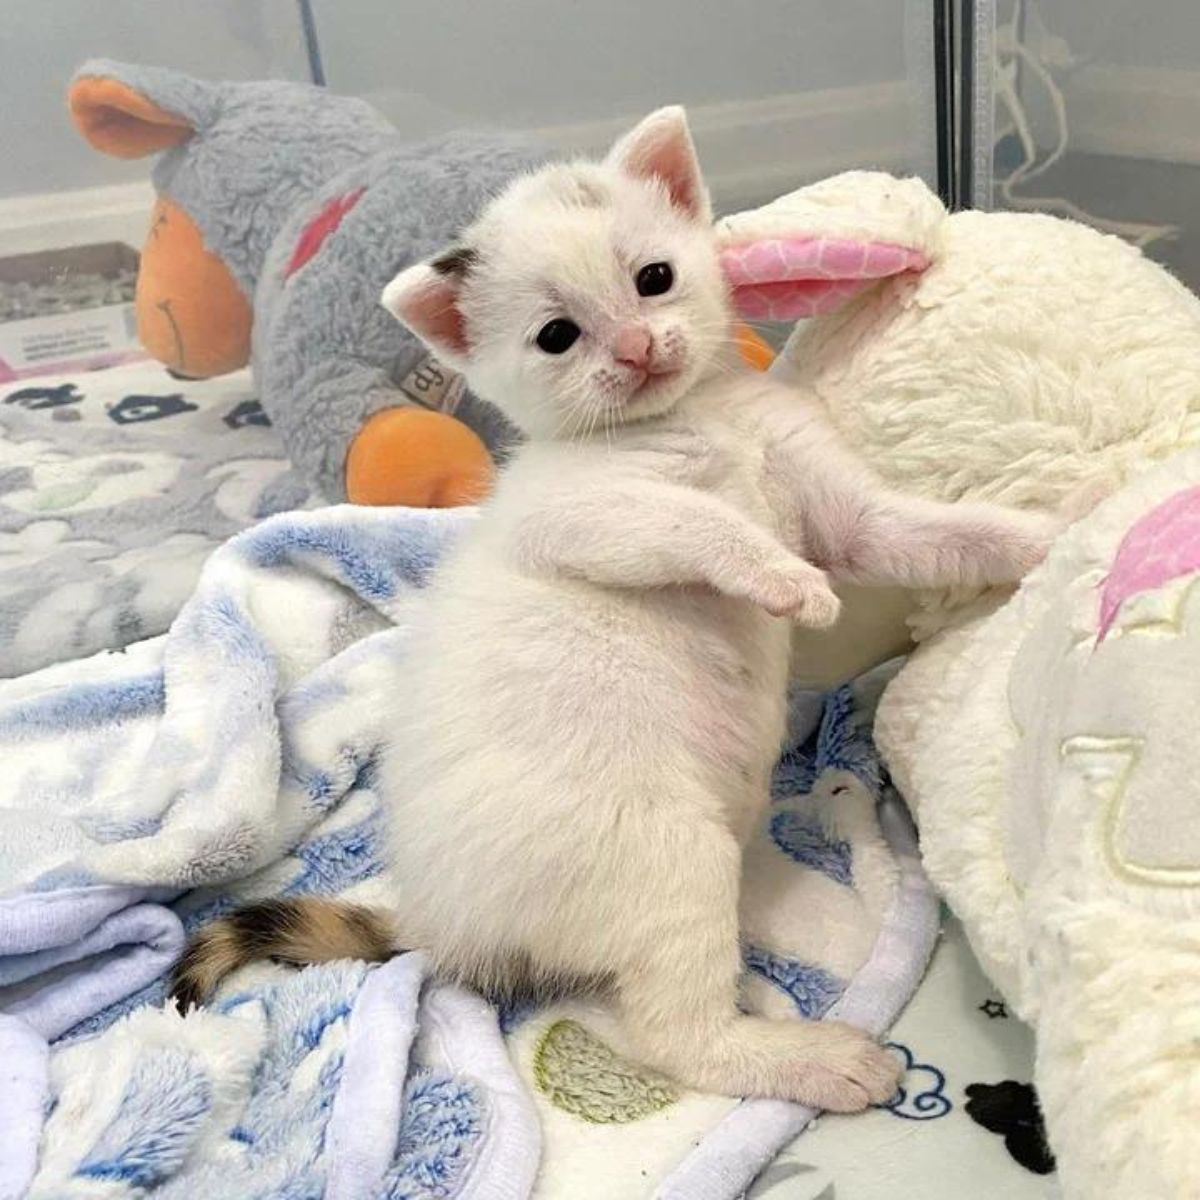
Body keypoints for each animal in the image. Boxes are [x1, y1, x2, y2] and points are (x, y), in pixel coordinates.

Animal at [169, 108, 1051, 1108]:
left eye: (653, 278)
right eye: (558, 335)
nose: (635, 348)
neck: (700, 419)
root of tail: (447, 923)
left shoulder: (846, 509)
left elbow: (926, 530)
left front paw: (1048, 536)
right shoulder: (581, 514)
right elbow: (695, 525)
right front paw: (784, 579)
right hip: (671, 853)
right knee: (674, 1037)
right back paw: (811, 1057)